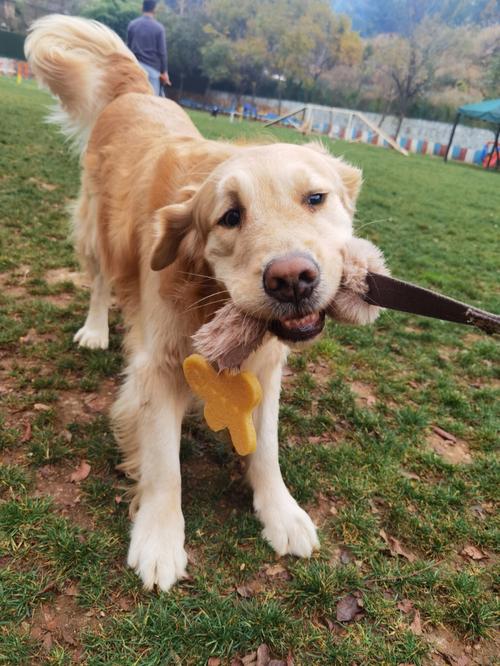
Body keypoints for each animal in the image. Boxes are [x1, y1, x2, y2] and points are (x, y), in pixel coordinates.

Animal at [25, 15, 384, 588]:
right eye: (229, 216)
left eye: (316, 198)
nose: (292, 279)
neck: (208, 291)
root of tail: (136, 91)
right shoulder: (158, 363)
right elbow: (163, 466)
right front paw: (158, 538)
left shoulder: (265, 365)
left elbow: (266, 447)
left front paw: (280, 511)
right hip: (99, 228)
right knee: (101, 281)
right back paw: (96, 330)